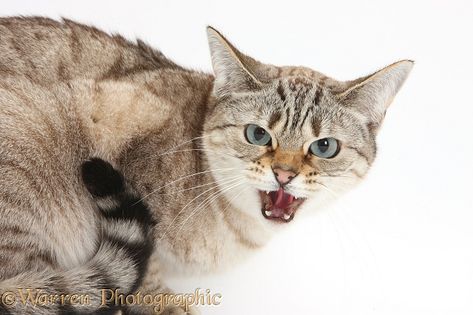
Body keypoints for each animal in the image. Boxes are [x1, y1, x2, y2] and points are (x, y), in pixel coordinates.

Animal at [0, 17, 412, 315]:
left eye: (324, 147)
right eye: (258, 135)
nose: (284, 174)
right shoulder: (112, 121)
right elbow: (147, 262)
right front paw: (159, 304)